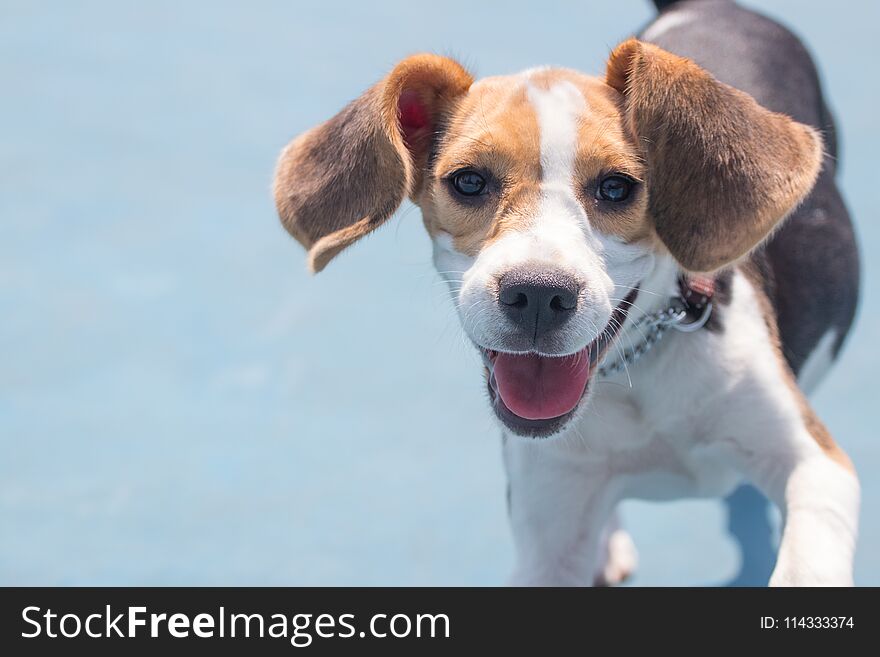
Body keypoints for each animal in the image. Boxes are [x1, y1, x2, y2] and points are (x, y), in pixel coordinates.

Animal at [274, 0, 860, 584]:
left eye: (616, 187)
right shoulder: (549, 529)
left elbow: (806, 565)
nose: (537, 295)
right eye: (468, 181)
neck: (634, 372)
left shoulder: (817, 466)